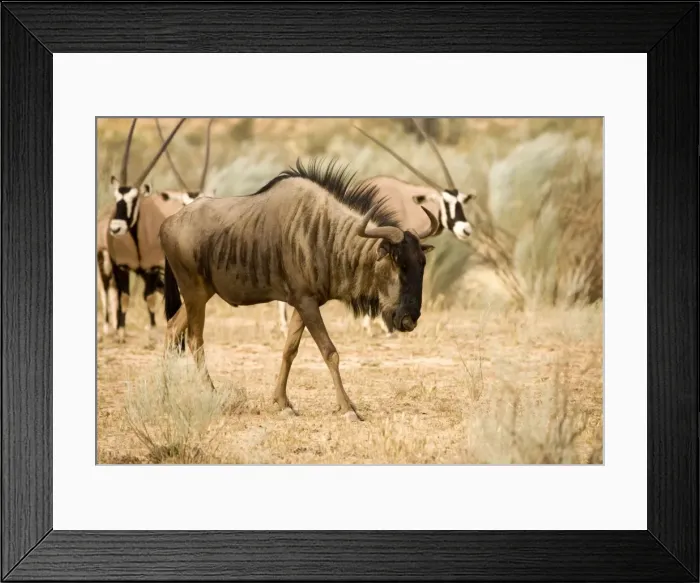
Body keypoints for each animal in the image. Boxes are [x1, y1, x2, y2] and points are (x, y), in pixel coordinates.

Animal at [160, 157, 439, 421]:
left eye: (422, 264)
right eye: (397, 262)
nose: (409, 319)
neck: (326, 235)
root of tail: (168, 223)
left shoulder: (304, 303)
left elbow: (289, 350)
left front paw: (283, 403)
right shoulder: (306, 302)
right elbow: (330, 352)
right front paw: (347, 407)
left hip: (202, 294)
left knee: (172, 328)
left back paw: (165, 393)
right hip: (194, 292)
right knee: (195, 340)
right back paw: (211, 394)